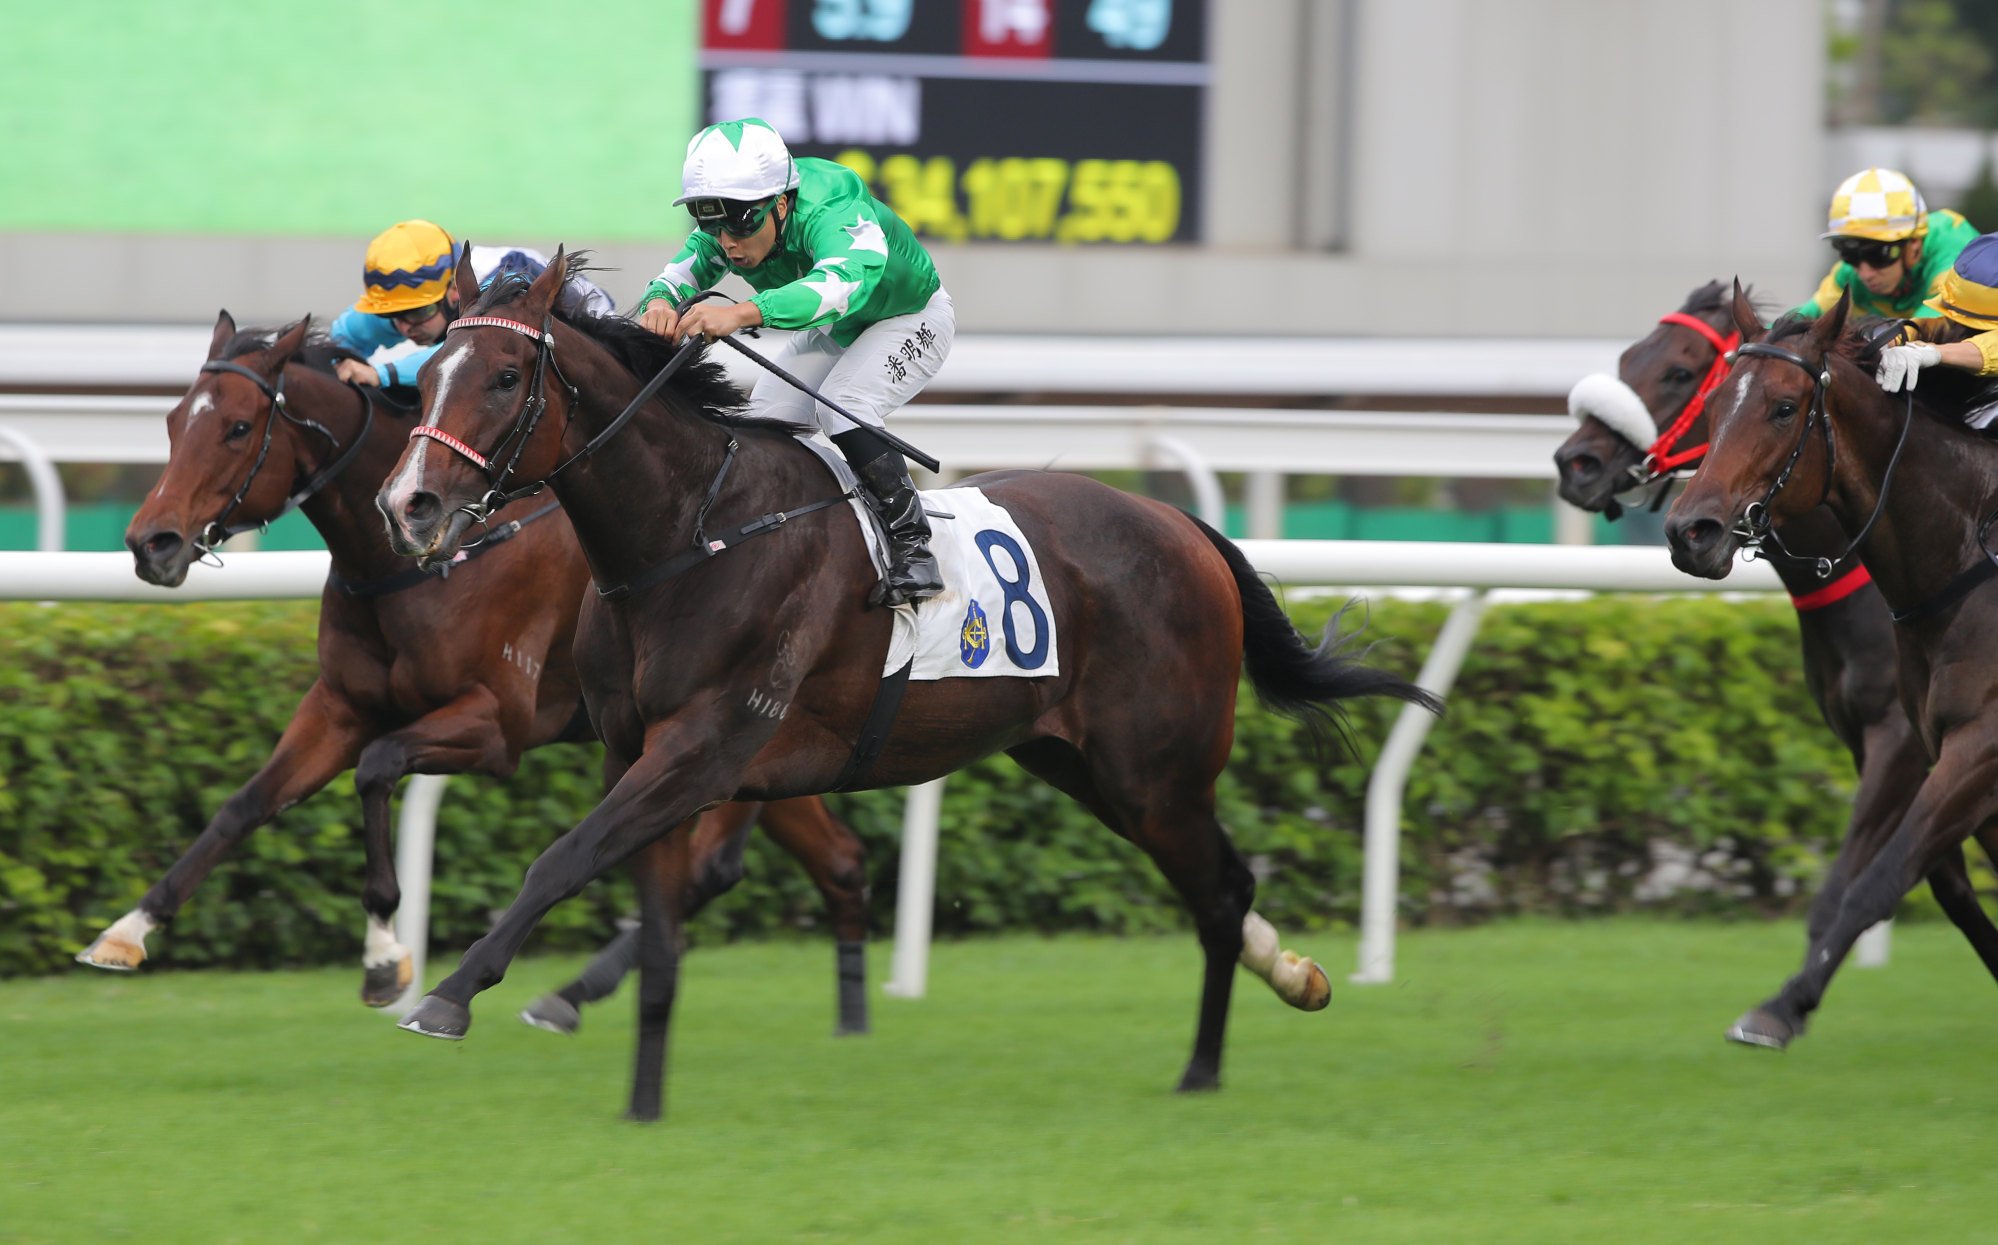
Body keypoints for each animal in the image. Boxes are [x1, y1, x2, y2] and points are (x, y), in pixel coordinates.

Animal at [97, 311, 871, 1039]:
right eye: (173, 421)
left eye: (236, 428)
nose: (151, 543)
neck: (421, 562)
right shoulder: (341, 705)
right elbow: (246, 802)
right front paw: (128, 930)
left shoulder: (495, 724)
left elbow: (378, 766)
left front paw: (385, 959)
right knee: (832, 858)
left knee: (724, 864)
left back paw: (573, 994)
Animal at [375, 245, 1438, 1119]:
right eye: (423, 378)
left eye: (505, 376)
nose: (408, 504)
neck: (692, 533)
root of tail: (1184, 526)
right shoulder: (636, 754)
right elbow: (653, 926)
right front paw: (641, 1098)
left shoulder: (701, 750)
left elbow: (559, 861)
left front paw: (446, 995)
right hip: (1082, 766)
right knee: (1225, 885)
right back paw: (1290, 980)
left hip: (1156, 772)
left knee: (1218, 894)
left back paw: (1205, 1066)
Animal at [1550, 281, 1998, 1023]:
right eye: (1715, 403)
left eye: (1680, 373)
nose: (1575, 462)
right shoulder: (1899, 746)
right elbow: (1943, 886)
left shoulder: (1917, 744)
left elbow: (1856, 882)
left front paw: (1782, 1007)